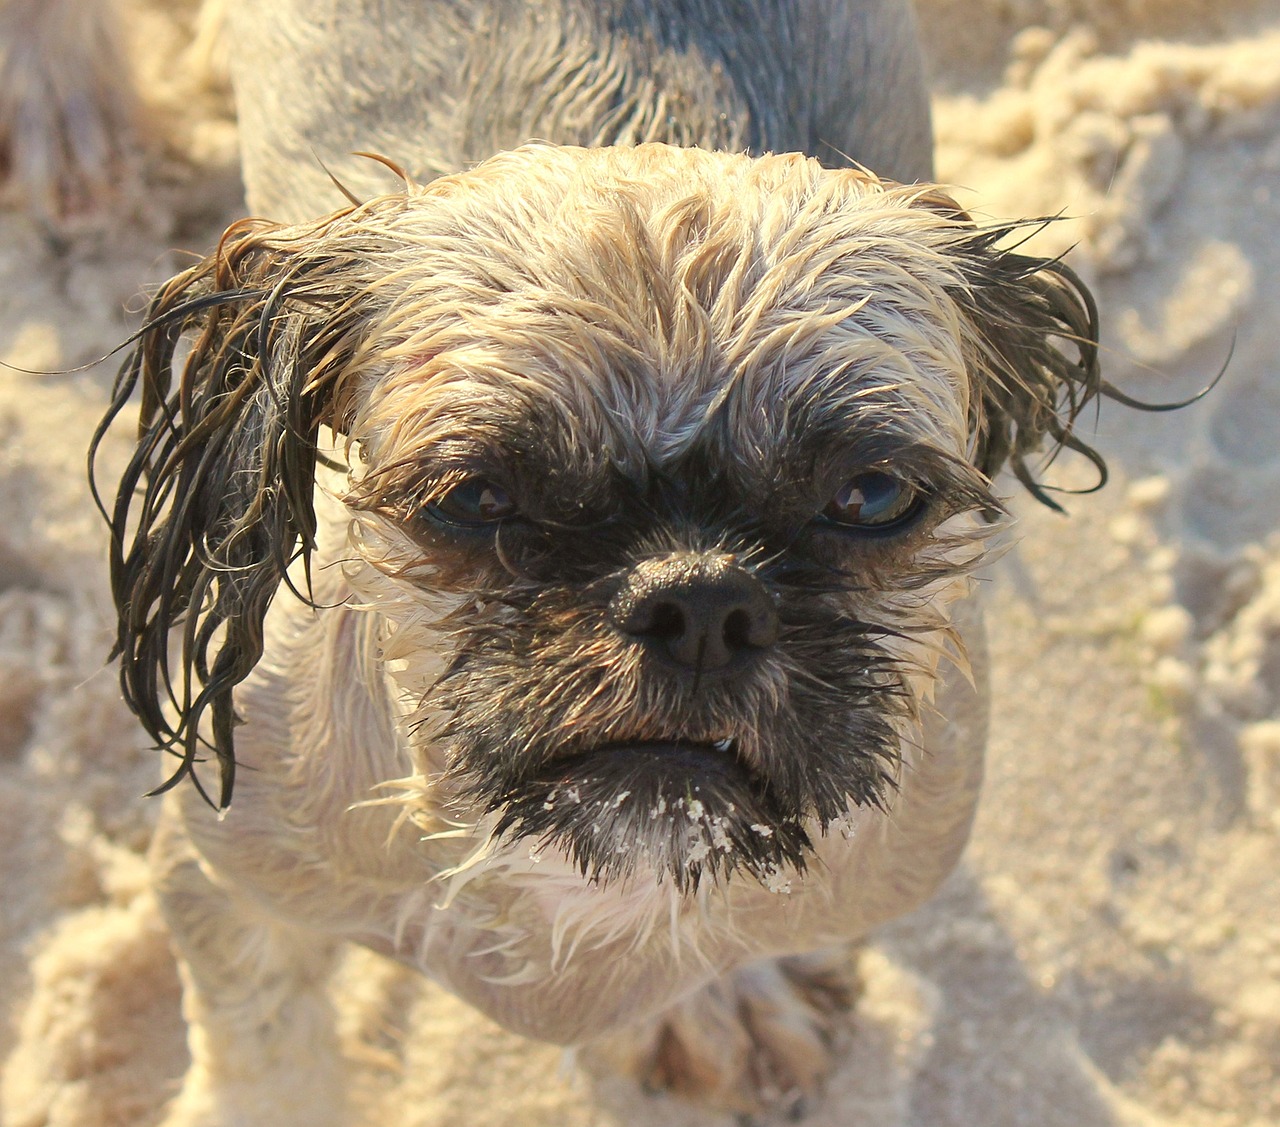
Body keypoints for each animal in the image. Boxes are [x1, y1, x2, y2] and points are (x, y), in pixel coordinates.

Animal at [90, 2, 1111, 1127]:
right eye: (475, 496)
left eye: (871, 495)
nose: (700, 601)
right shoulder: (228, 883)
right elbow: (268, 1065)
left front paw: (723, 998)